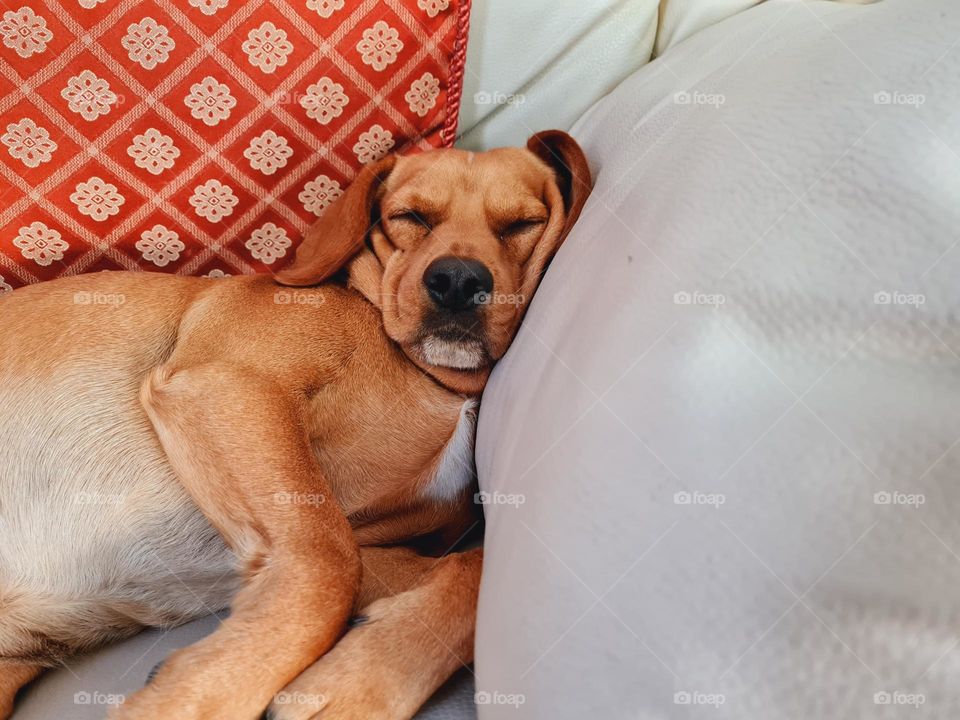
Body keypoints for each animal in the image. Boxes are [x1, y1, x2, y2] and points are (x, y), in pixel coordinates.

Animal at [0, 131, 592, 720]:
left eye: (522, 223)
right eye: (410, 217)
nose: (457, 280)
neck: (437, 382)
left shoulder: (375, 548)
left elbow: (469, 569)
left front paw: (365, 681)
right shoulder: (228, 383)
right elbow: (326, 563)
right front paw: (201, 695)